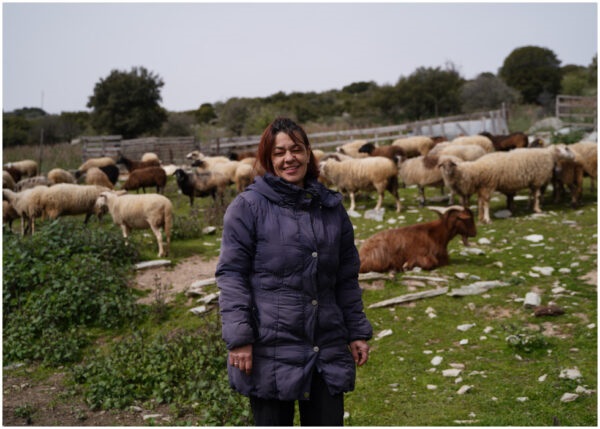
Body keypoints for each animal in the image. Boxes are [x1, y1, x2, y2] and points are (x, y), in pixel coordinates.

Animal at [438, 144, 576, 223]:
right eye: (566, 148)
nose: (574, 157)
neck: (550, 155)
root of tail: (478, 165)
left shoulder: (533, 182)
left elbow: (532, 195)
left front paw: (531, 206)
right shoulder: (537, 180)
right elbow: (536, 196)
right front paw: (537, 209)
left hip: (483, 186)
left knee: (480, 202)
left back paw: (481, 217)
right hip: (489, 185)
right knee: (486, 202)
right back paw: (487, 219)